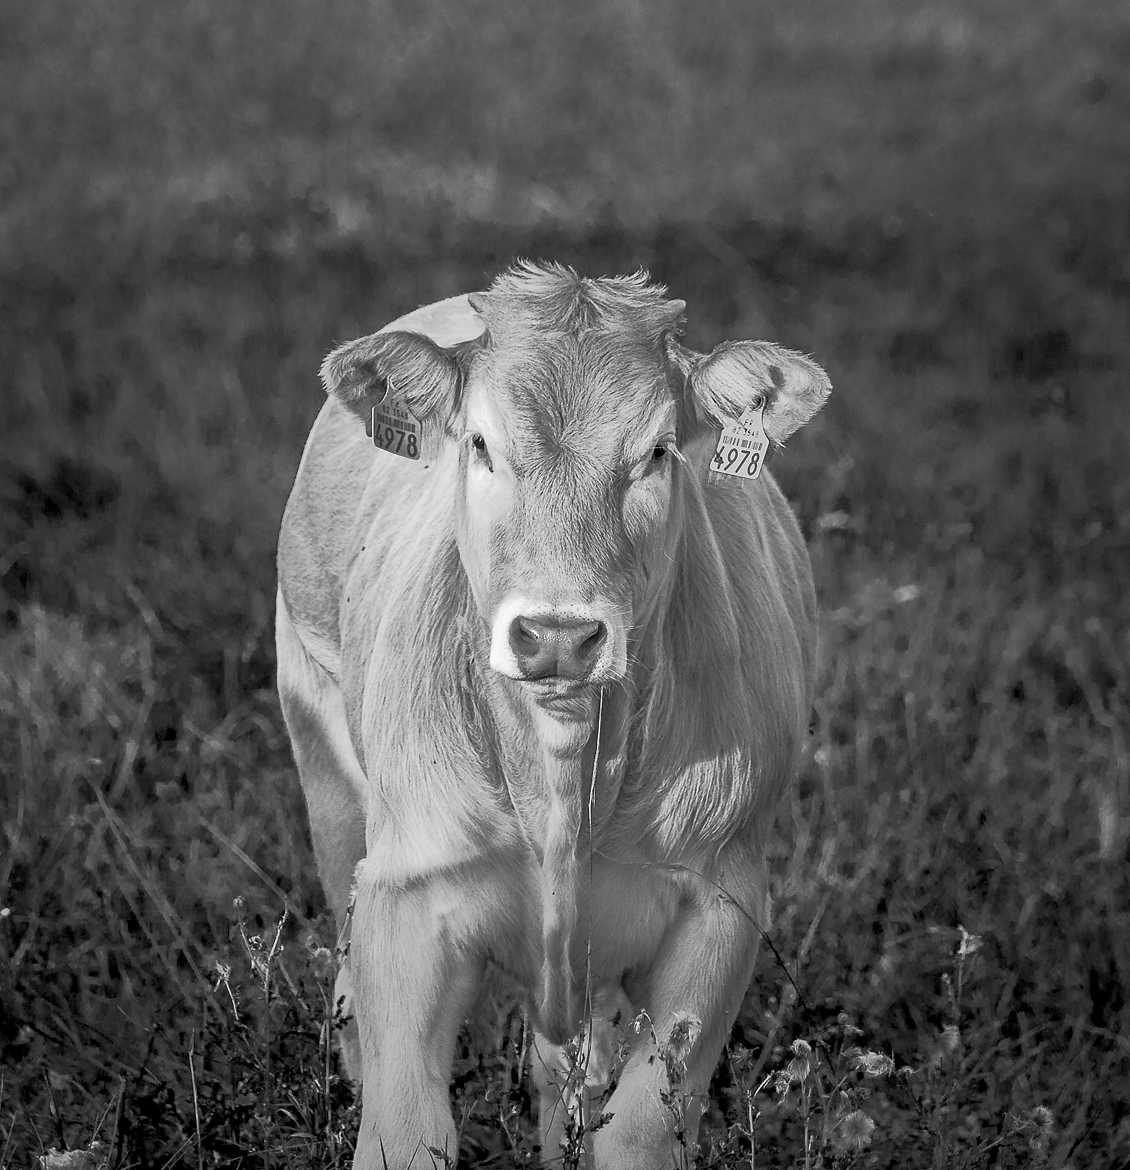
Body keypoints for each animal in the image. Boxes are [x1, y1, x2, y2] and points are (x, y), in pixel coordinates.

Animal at [276, 265, 832, 1170]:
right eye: (479, 444)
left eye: (657, 451)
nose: (560, 635)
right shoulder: (406, 893)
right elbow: (406, 1130)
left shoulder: (722, 903)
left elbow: (638, 1132)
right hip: (324, 773)